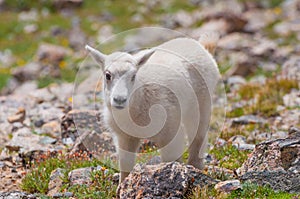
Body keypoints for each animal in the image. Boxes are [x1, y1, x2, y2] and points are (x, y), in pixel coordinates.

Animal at [86, 33, 220, 182]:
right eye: (107, 75)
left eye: (133, 76)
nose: (119, 100)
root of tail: (202, 47)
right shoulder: (125, 137)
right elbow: (125, 165)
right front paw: (123, 184)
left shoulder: (170, 131)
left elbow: (171, 160)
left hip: (202, 103)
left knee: (198, 137)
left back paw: (196, 168)